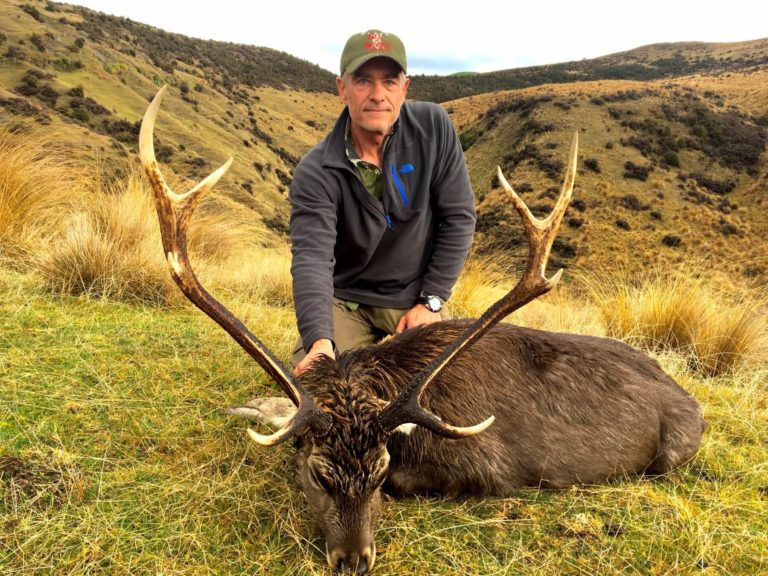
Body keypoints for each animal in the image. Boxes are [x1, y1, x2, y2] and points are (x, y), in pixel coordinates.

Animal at [139, 86, 705, 575]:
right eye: (319, 475)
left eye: (379, 472)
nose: (354, 562)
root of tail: (692, 400)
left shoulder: (488, 469)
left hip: (672, 452)